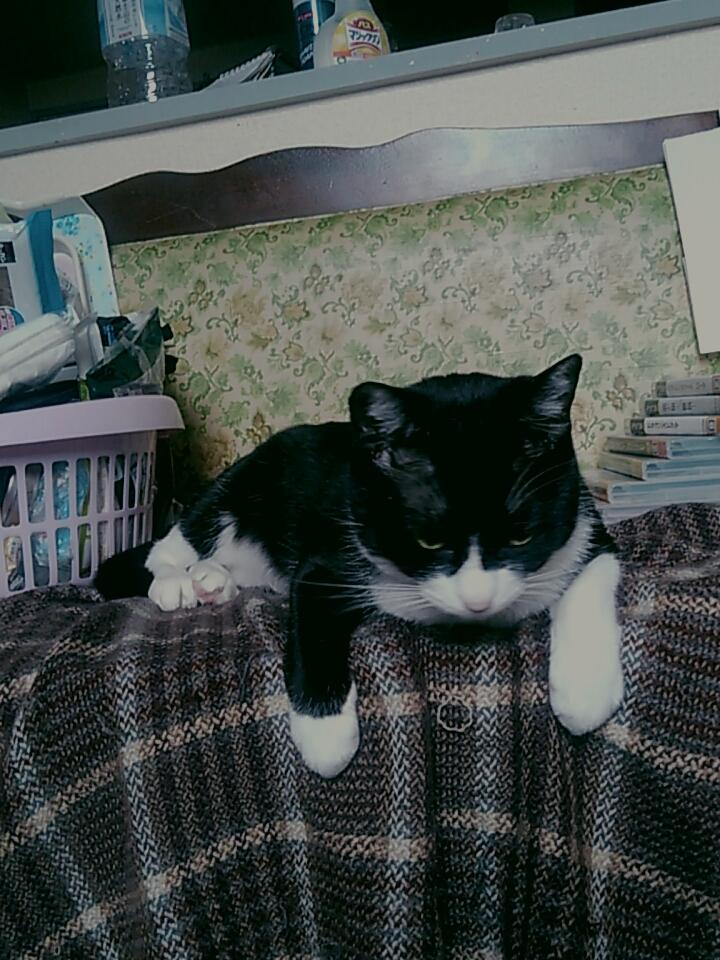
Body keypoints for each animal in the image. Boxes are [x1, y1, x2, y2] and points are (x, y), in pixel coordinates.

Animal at [95, 354, 623, 777]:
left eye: (521, 536)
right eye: (428, 540)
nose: (478, 600)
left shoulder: (584, 521)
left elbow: (592, 571)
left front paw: (585, 690)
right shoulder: (328, 557)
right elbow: (312, 622)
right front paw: (326, 737)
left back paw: (215, 579)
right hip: (241, 481)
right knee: (174, 541)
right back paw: (179, 581)